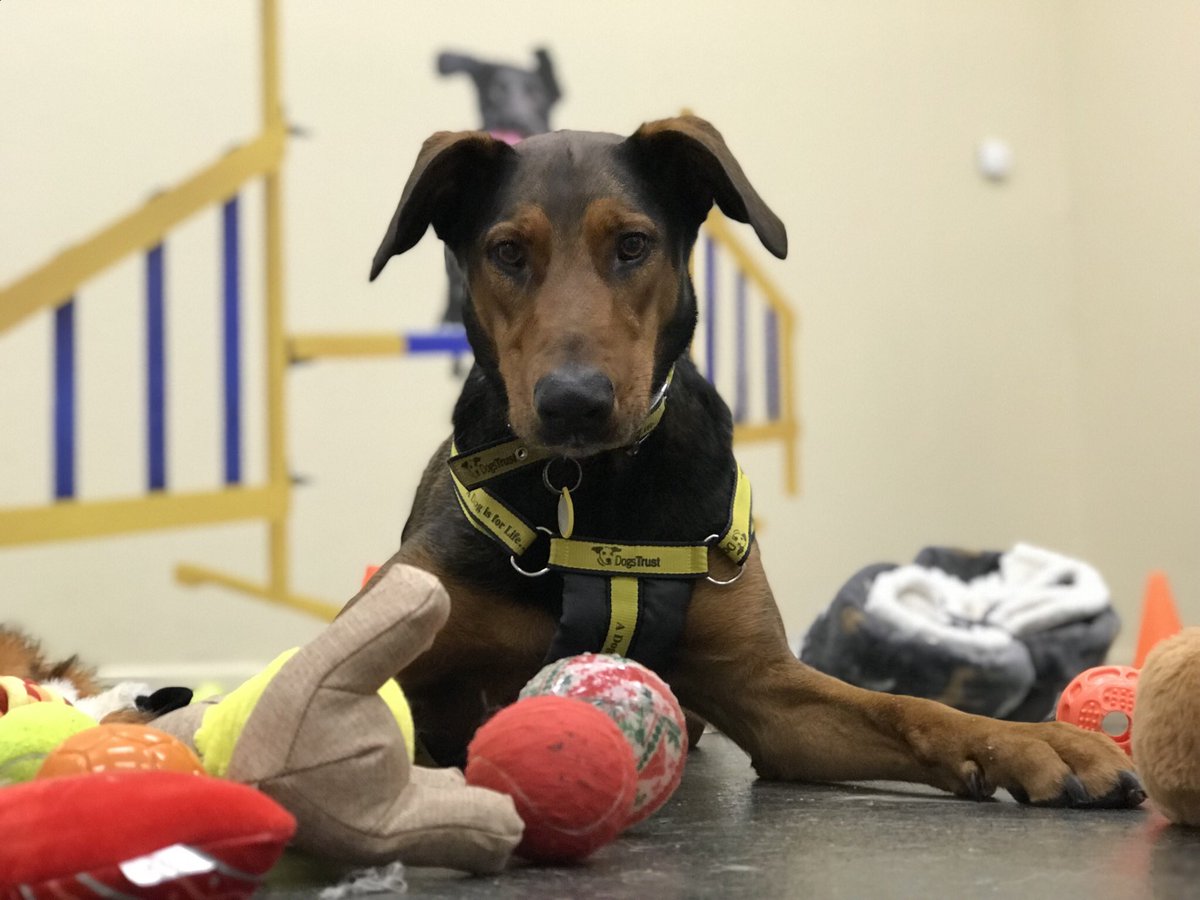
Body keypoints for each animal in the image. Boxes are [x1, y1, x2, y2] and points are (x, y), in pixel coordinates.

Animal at [362, 114, 1142, 811]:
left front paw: (1036, 739)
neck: (596, 483)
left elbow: (910, 709)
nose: (573, 404)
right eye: (508, 253)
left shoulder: (769, 695)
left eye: (633, 245)